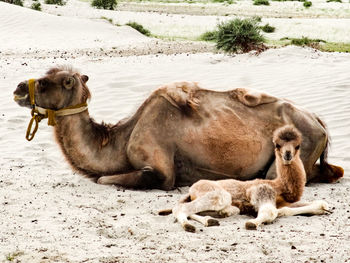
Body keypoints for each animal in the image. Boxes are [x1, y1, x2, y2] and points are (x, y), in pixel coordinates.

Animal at [13, 65, 342, 190]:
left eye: (47, 82)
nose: (17, 89)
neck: (120, 139)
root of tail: (318, 120)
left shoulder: (160, 170)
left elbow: (105, 179)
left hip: (296, 147)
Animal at [163, 126, 330, 233]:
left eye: (297, 146)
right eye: (278, 145)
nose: (287, 154)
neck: (281, 186)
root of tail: (191, 189)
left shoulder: (284, 201)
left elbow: (317, 204)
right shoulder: (260, 190)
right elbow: (270, 212)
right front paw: (251, 223)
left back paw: (214, 218)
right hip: (218, 193)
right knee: (181, 207)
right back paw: (190, 226)